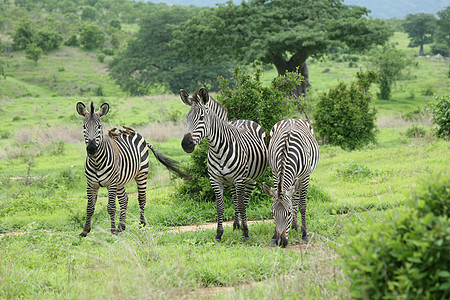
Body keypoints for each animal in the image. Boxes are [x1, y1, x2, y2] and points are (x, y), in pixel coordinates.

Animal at [77, 102, 190, 238]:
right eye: (84, 126)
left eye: (99, 126)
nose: (92, 149)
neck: (96, 162)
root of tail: (135, 132)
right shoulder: (91, 184)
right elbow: (89, 207)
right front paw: (85, 231)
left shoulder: (111, 183)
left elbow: (111, 207)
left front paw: (112, 231)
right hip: (120, 181)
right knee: (124, 199)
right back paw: (121, 226)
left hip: (141, 174)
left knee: (141, 199)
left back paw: (141, 224)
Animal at [179, 86, 268, 241]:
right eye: (186, 118)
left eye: (201, 117)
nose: (186, 144)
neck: (217, 150)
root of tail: (244, 119)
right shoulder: (215, 180)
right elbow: (220, 207)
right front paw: (219, 234)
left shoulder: (239, 179)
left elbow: (242, 205)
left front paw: (246, 233)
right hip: (232, 182)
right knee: (235, 200)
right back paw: (236, 225)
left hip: (251, 179)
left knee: (244, 201)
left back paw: (242, 226)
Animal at [260, 118, 320, 247]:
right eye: (272, 213)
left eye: (287, 214)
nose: (280, 242)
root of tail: (292, 118)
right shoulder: (275, 172)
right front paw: (273, 237)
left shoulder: (304, 177)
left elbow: (302, 206)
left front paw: (305, 234)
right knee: (294, 201)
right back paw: (294, 227)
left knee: (296, 202)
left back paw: (297, 228)